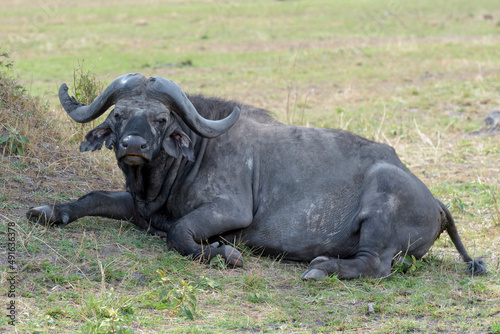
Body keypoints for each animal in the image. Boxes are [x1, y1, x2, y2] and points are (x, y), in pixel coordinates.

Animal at [26, 73, 484, 280]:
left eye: (160, 118)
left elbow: (179, 233)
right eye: (119, 115)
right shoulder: (138, 205)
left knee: (374, 264)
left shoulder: (229, 211)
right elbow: (92, 197)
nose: (133, 145)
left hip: (381, 207)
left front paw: (223, 253)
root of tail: (435, 202)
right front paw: (48, 210)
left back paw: (320, 268)